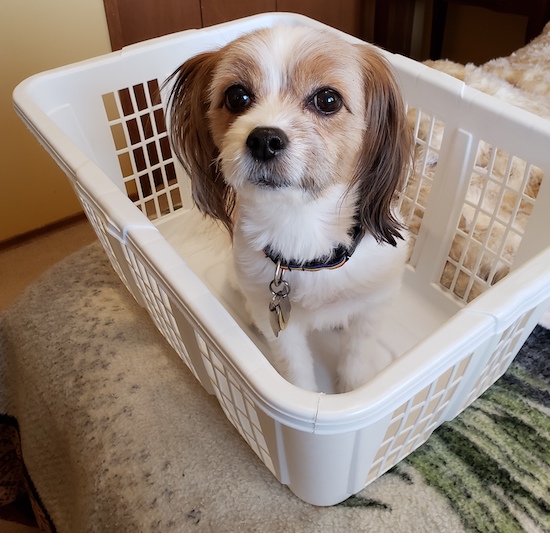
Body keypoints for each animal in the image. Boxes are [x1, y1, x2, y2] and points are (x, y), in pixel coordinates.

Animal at [168, 25, 414, 390]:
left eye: (328, 99)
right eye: (236, 96)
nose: (264, 139)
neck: (302, 225)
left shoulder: (373, 305)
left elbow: (357, 360)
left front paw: (353, 390)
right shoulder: (275, 316)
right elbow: (295, 372)